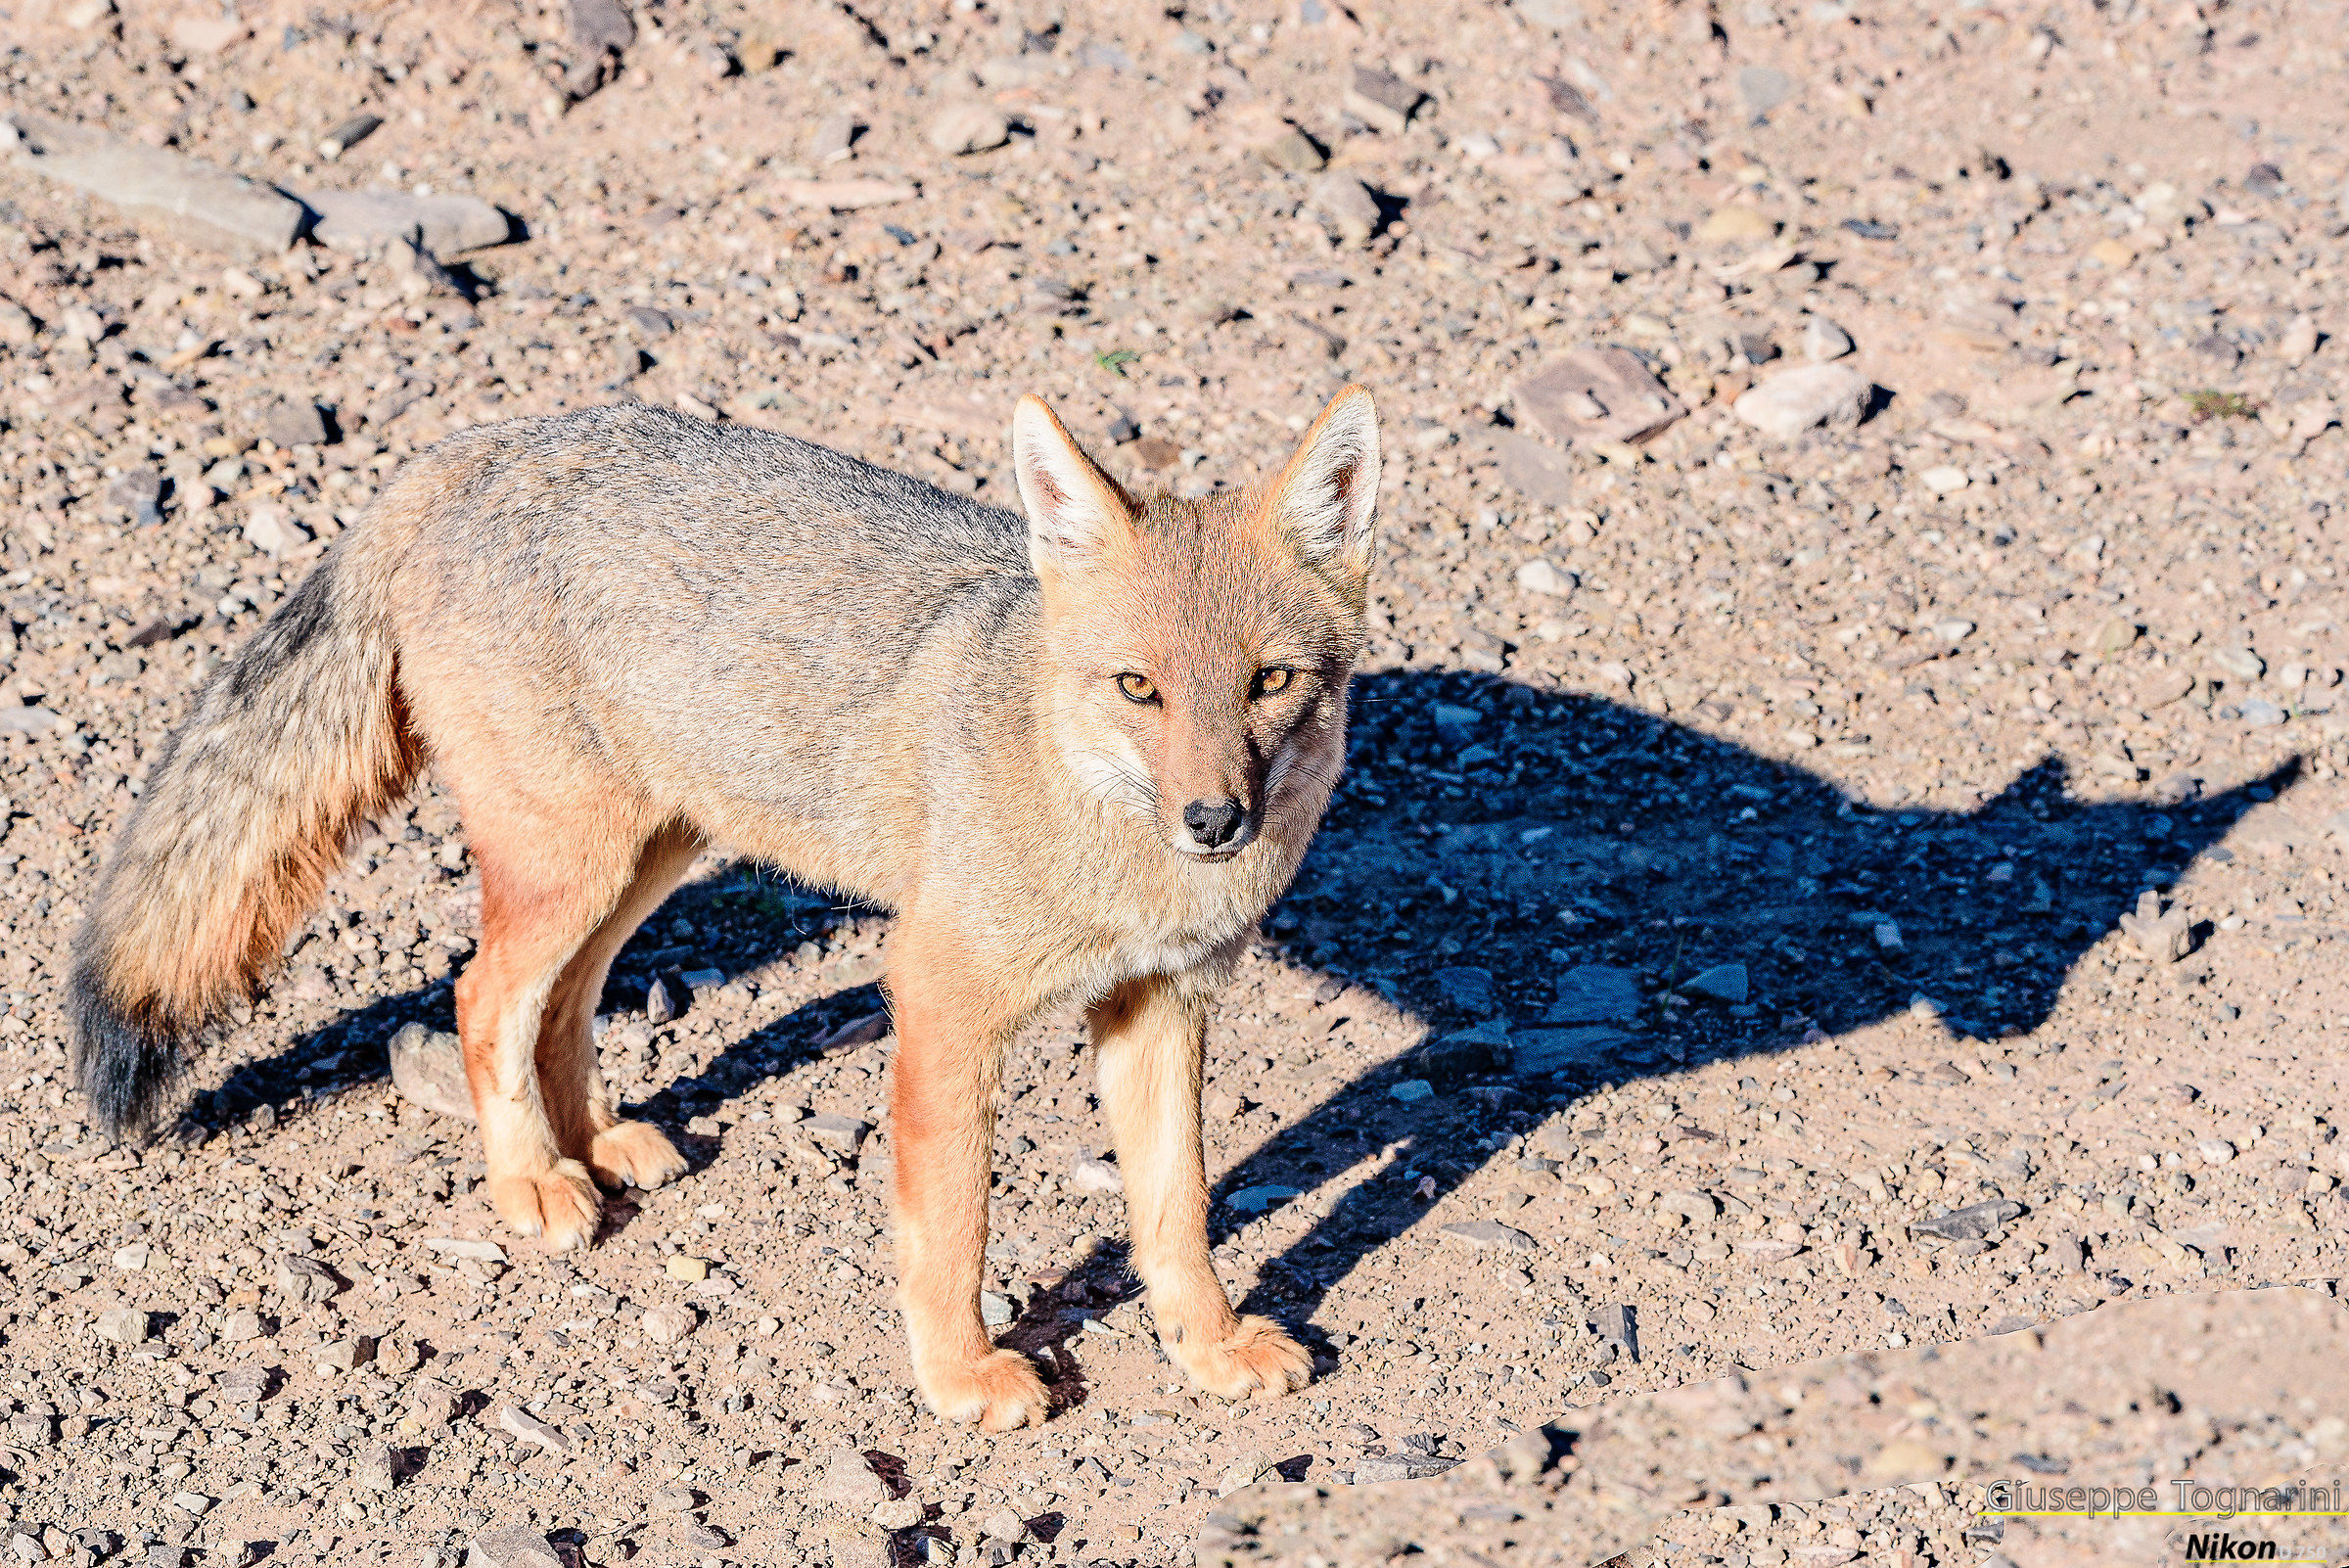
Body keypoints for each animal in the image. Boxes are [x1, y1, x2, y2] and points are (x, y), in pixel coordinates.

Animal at [69, 384, 1382, 1430]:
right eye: (1138, 688)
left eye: (1270, 682)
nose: (1213, 820)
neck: (1109, 839)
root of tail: (463, 449)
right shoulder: (942, 997)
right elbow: (953, 1216)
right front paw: (961, 1378)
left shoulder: (1162, 1004)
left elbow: (1178, 1212)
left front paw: (1210, 1347)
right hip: (575, 859)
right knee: (483, 994)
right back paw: (532, 1183)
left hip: (649, 852)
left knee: (564, 1001)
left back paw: (595, 1144)